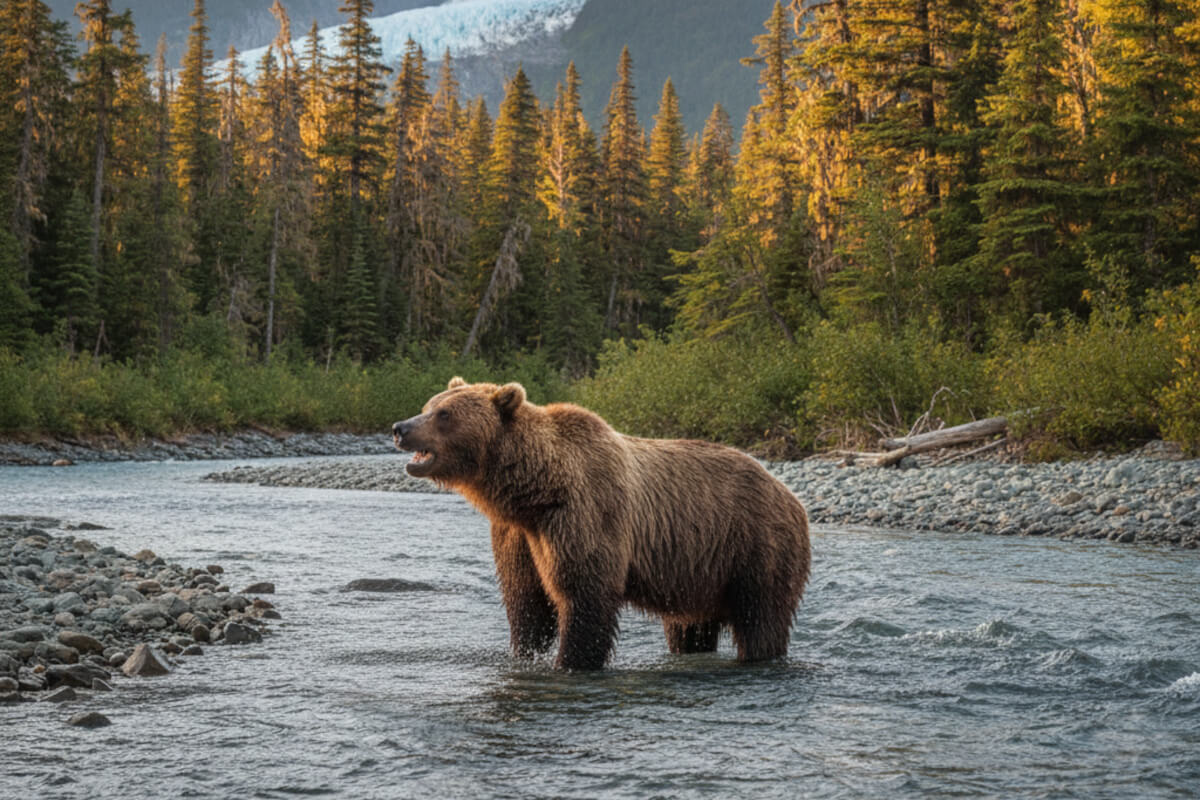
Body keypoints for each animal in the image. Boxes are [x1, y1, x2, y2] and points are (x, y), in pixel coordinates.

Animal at [392, 377, 811, 670]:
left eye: (445, 415)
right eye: (429, 404)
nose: (400, 427)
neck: (535, 492)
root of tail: (789, 494)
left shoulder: (584, 515)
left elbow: (584, 595)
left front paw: (570, 662)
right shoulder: (517, 536)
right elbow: (526, 602)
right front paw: (525, 653)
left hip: (755, 546)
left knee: (761, 618)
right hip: (700, 570)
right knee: (690, 627)